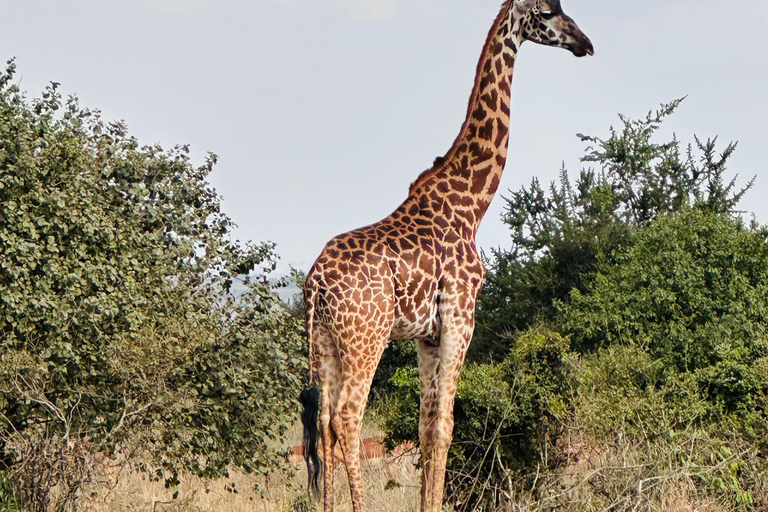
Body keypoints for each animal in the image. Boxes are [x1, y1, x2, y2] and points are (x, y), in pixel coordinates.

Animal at [300, 2, 592, 510]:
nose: (584, 43)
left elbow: (424, 426)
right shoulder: (461, 316)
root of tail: (315, 282)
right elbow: (445, 427)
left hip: (325, 343)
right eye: (547, 11)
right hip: (366, 338)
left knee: (322, 424)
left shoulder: (427, 335)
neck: (473, 203)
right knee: (347, 417)